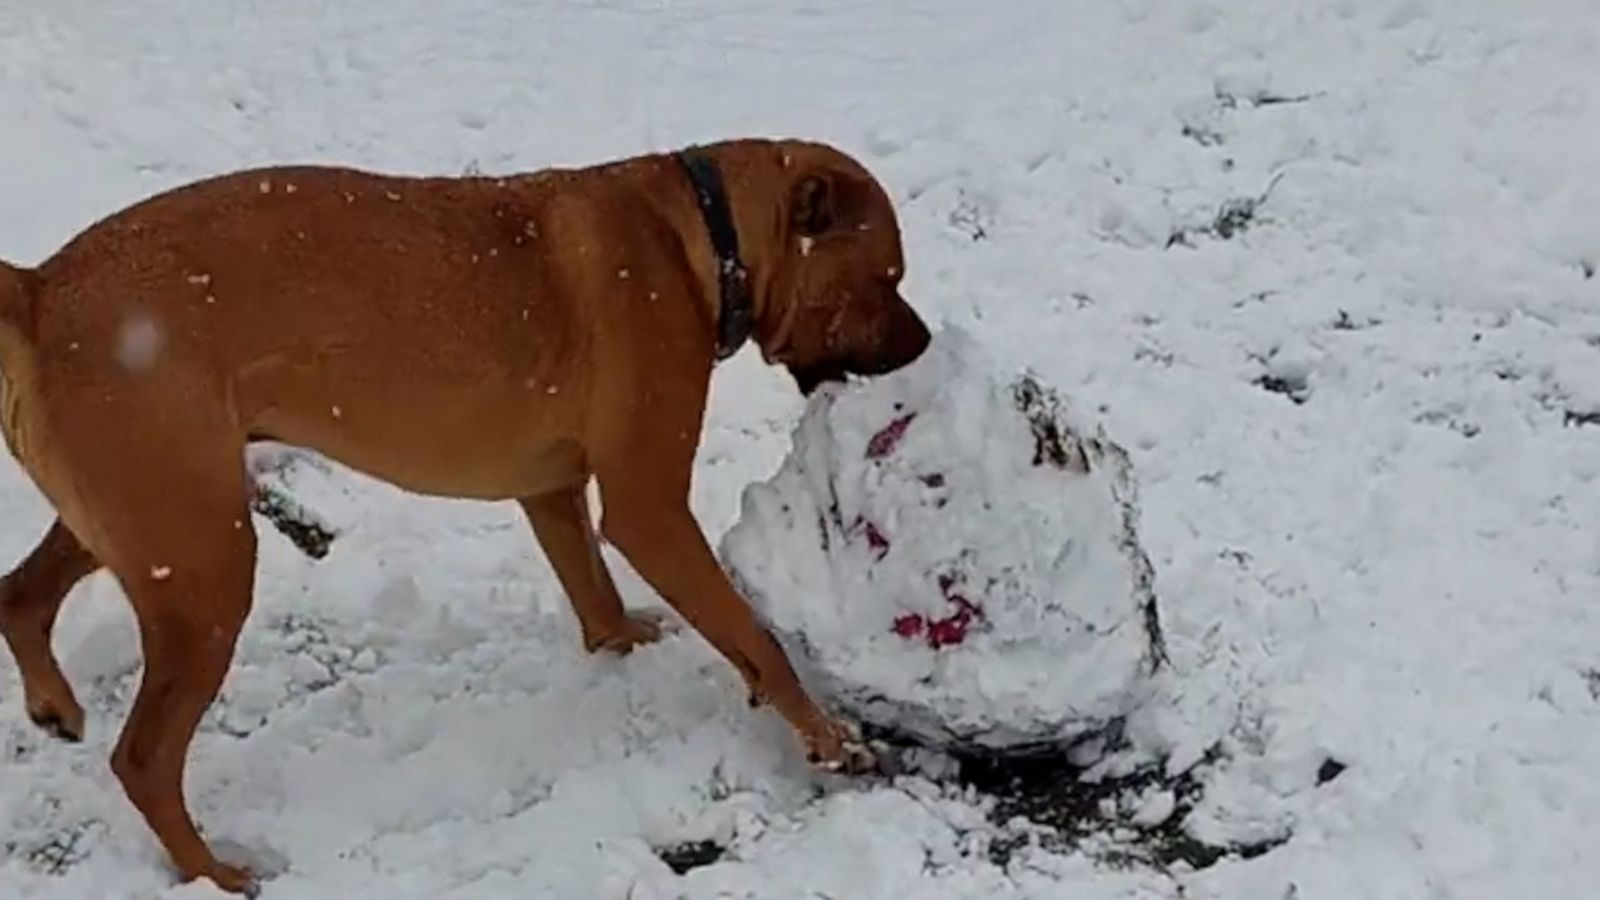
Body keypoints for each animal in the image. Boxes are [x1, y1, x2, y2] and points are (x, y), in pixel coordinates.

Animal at [0, 140, 934, 890]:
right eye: (885, 278)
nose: (926, 345)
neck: (705, 237)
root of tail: (41, 291)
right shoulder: (651, 511)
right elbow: (757, 639)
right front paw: (830, 738)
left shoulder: (552, 491)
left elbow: (594, 594)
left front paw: (623, 643)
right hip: (204, 566)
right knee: (144, 760)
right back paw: (214, 873)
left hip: (144, 523)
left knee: (20, 596)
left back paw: (54, 706)